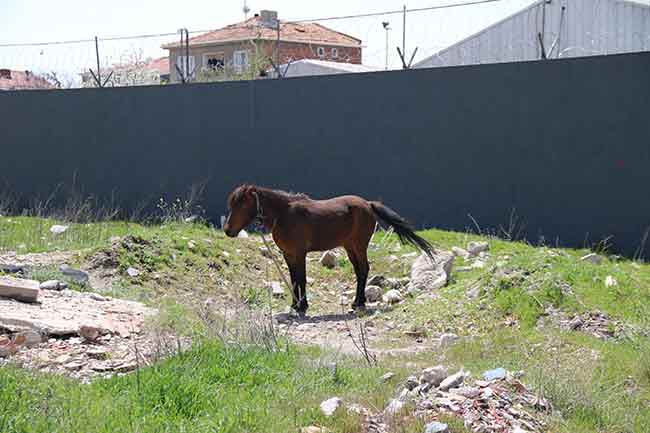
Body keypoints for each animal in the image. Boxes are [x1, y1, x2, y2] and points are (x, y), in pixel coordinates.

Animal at [220, 184, 432, 316]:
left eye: (242, 204)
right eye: (231, 204)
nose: (228, 230)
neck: (284, 215)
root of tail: (368, 204)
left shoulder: (299, 254)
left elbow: (301, 279)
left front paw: (302, 306)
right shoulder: (288, 255)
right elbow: (294, 279)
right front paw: (295, 305)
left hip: (359, 245)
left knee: (363, 270)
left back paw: (359, 303)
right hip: (350, 247)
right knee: (359, 271)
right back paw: (357, 302)